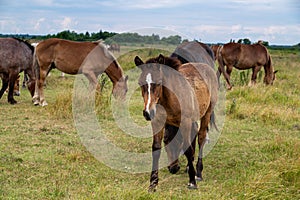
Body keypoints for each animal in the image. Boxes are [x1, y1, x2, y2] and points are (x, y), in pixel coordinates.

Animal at [134, 54, 218, 191]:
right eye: (140, 83)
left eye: (159, 82)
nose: (148, 112)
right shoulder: (157, 122)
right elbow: (156, 148)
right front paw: (153, 183)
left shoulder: (185, 122)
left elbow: (188, 148)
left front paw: (192, 182)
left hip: (207, 112)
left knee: (201, 138)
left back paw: (198, 173)